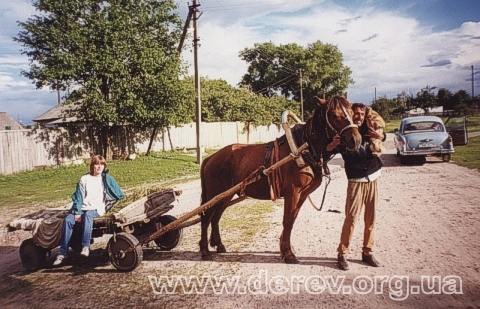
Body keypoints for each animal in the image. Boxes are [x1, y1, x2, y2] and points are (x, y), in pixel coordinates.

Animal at [198, 94, 360, 262]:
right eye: (334, 115)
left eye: (352, 112)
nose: (356, 140)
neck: (303, 148)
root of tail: (210, 158)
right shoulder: (292, 193)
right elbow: (287, 221)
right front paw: (288, 254)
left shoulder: (302, 195)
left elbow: (292, 219)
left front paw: (284, 249)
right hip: (214, 194)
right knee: (206, 217)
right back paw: (204, 250)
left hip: (225, 196)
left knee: (215, 217)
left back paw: (218, 245)